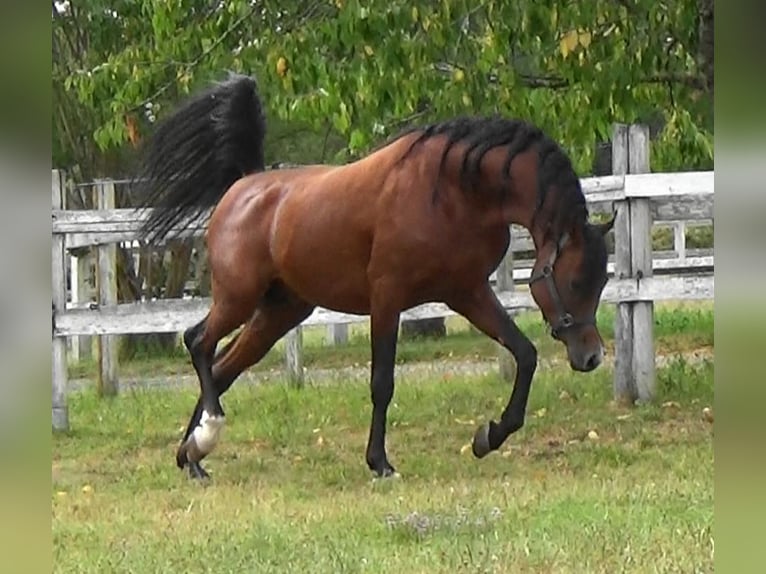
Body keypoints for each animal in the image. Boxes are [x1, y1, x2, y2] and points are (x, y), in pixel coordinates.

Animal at [135, 73, 614, 481]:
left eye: (603, 282)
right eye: (575, 281)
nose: (591, 356)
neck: (455, 189)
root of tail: (245, 185)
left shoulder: (467, 293)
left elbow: (525, 354)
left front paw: (488, 437)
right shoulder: (388, 296)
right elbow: (382, 382)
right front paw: (380, 462)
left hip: (279, 313)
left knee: (222, 368)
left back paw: (192, 458)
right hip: (238, 298)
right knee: (199, 343)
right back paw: (205, 438)